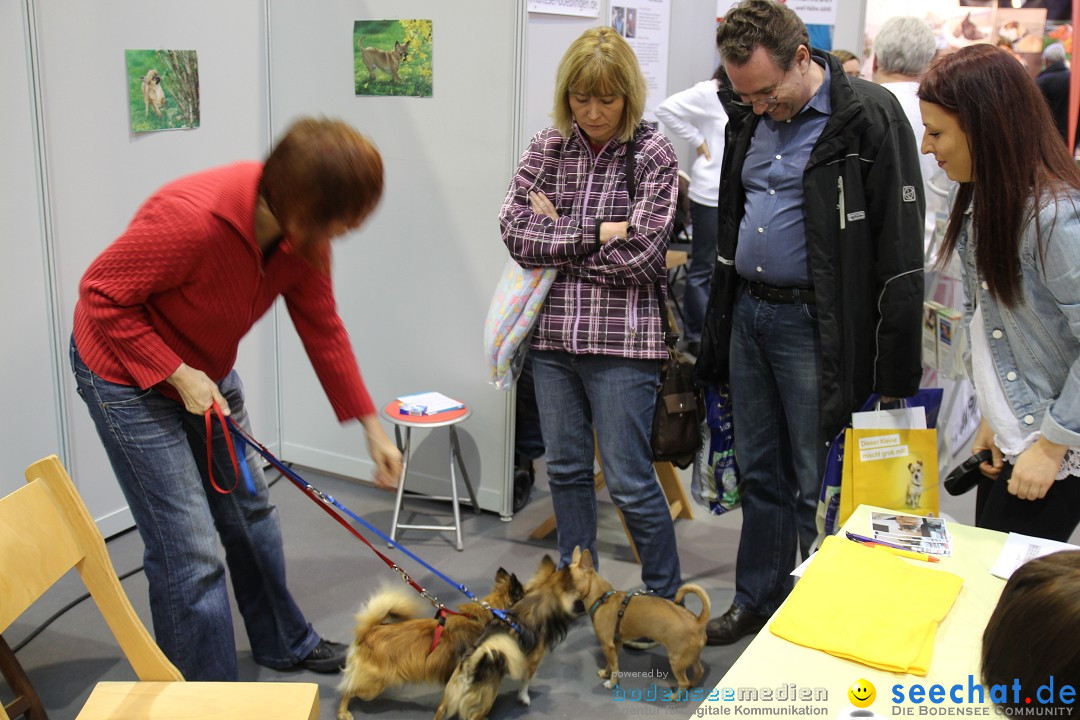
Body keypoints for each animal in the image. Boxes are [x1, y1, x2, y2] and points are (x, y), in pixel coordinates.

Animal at [432, 557, 578, 720]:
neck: (539, 599)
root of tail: (471, 666)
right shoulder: (532, 662)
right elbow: (525, 682)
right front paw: (524, 698)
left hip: (449, 697)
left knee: (440, 710)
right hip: (488, 697)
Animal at [570, 546, 712, 690]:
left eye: (567, 582)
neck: (602, 597)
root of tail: (698, 621)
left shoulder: (607, 645)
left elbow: (615, 668)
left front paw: (612, 682)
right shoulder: (615, 645)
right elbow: (611, 664)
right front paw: (606, 673)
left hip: (677, 660)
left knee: (683, 681)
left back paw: (675, 694)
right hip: (691, 657)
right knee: (699, 671)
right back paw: (693, 684)